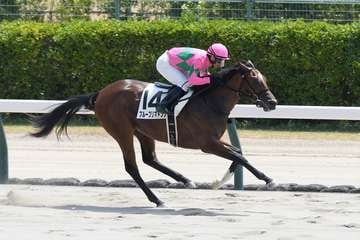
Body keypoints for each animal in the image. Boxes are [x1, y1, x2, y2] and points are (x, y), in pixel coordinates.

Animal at [31, 61, 278, 207]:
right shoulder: (207, 144)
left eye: (264, 79)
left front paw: (220, 181)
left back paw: (185, 180)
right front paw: (268, 179)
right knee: (132, 166)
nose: (272, 103)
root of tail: (101, 93)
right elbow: (240, 156)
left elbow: (238, 153)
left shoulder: (216, 141)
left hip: (143, 131)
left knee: (150, 159)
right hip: (121, 131)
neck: (209, 101)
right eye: (254, 80)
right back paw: (157, 199)